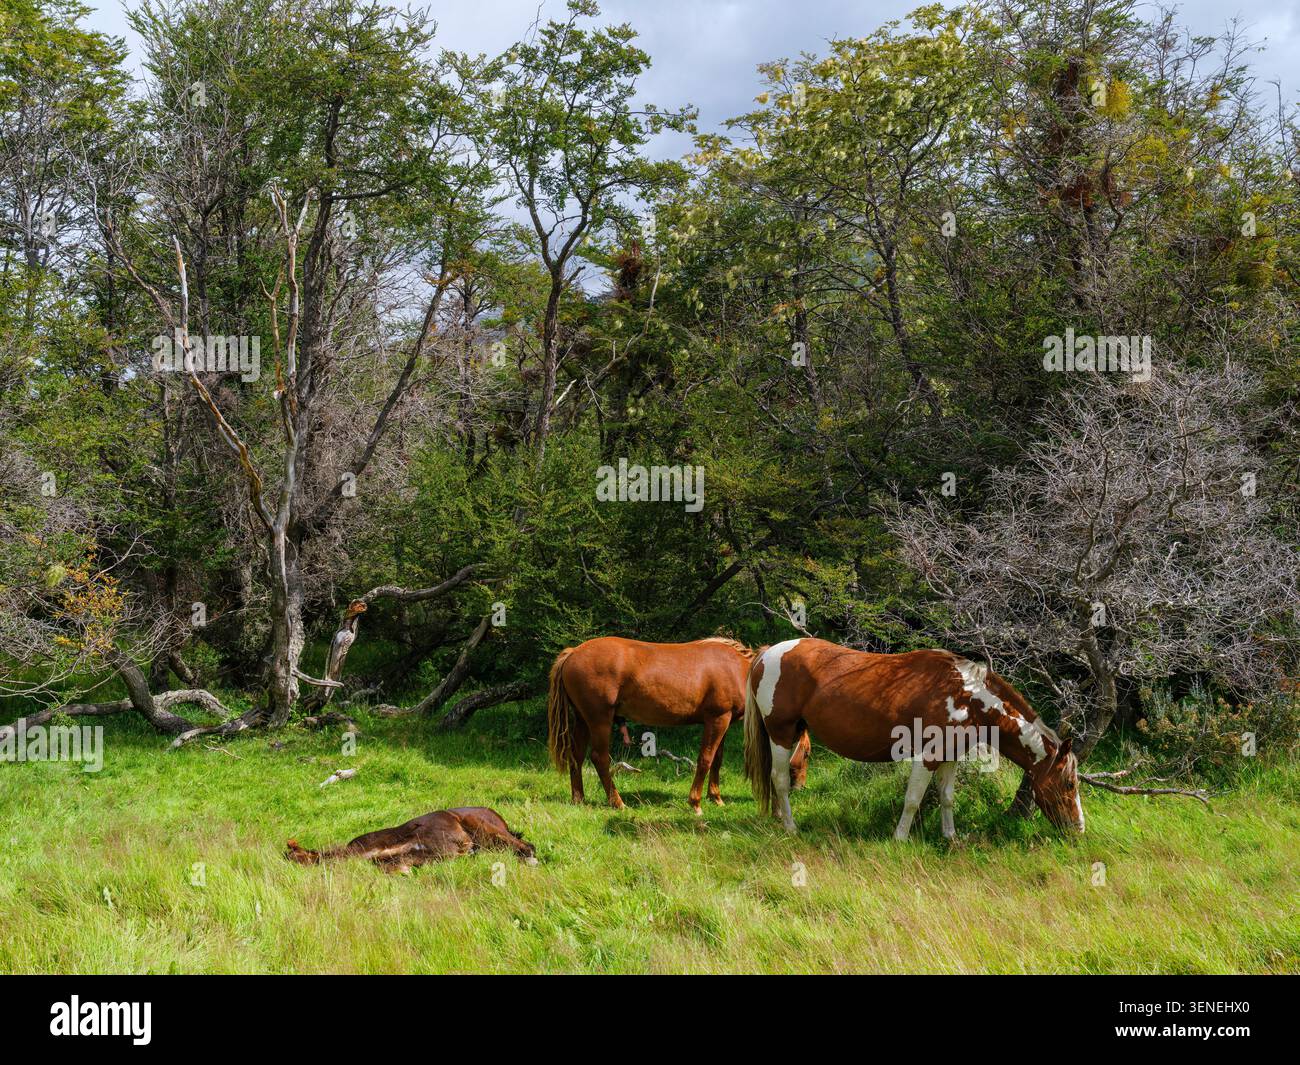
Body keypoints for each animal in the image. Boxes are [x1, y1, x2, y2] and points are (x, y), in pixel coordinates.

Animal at [547, 636, 811, 814]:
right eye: (807, 752)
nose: (800, 787)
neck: (738, 669)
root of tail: (573, 653)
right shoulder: (717, 719)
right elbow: (705, 759)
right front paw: (695, 803)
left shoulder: (722, 722)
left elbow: (717, 760)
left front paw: (716, 797)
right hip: (599, 720)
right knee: (599, 758)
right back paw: (617, 802)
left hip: (583, 720)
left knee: (576, 757)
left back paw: (578, 798)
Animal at [743, 638, 1083, 839]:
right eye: (1070, 784)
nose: (1079, 828)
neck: (967, 695)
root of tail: (768, 653)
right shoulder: (929, 755)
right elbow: (913, 799)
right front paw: (900, 838)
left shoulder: (950, 756)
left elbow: (947, 798)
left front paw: (951, 838)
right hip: (781, 732)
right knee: (780, 779)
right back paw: (790, 827)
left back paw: (779, 818)